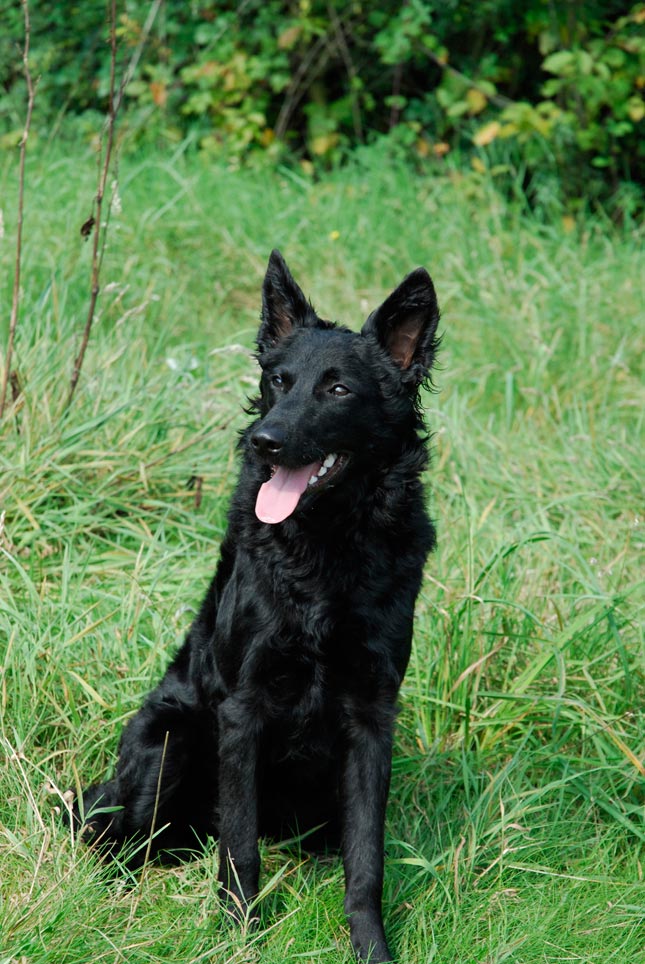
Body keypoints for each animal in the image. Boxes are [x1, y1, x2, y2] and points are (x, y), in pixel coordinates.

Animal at [74, 250, 438, 964]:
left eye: (337, 390)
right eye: (278, 380)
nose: (265, 442)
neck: (328, 546)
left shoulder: (371, 717)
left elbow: (366, 860)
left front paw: (371, 948)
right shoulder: (244, 706)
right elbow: (239, 848)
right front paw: (240, 935)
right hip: (170, 736)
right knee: (119, 838)